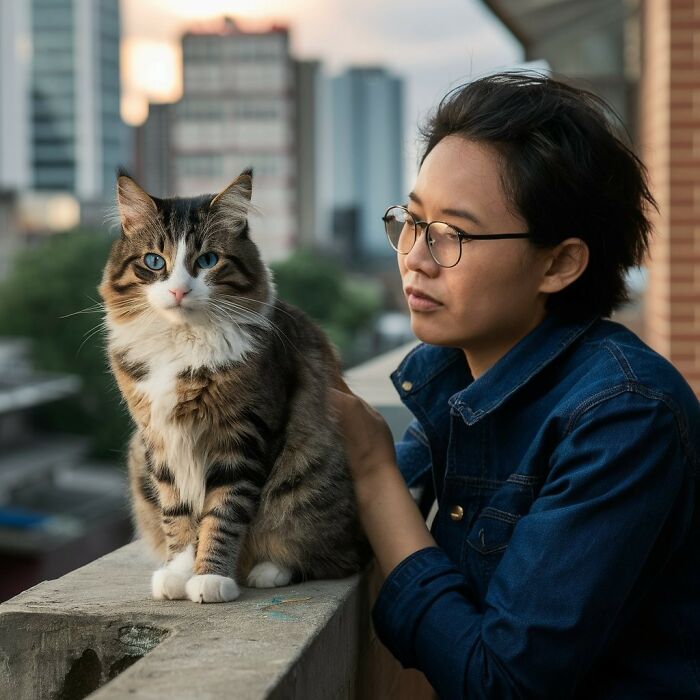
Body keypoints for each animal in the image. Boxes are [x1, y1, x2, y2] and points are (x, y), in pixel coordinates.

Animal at [101, 168, 372, 600]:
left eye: (208, 260)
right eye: (154, 261)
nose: (179, 290)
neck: (183, 345)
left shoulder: (242, 439)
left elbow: (222, 515)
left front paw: (210, 578)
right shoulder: (160, 439)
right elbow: (178, 514)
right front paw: (179, 572)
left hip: (308, 478)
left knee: (334, 558)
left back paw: (267, 571)